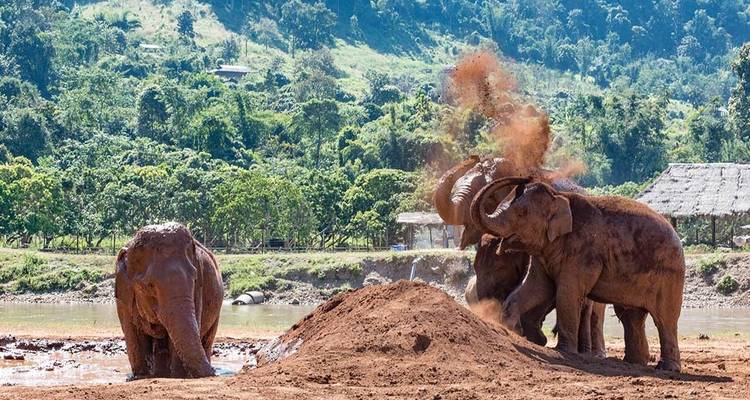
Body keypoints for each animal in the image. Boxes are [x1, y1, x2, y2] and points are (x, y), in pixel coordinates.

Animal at [115, 222, 223, 379]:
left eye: (195, 278)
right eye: (148, 286)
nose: (214, 373)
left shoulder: (197, 289)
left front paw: (179, 375)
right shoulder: (124, 297)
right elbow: (133, 335)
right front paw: (141, 376)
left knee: (207, 340)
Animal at [471, 177, 685, 371]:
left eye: (521, 213)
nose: (524, 177)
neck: (560, 197)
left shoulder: (582, 252)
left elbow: (566, 294)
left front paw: (564, 351)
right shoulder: (543, 253)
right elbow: (536, 288)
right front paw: (510, 328)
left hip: (670, 275)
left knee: (664, 319)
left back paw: (667, 368)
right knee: (631, 317)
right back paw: (634, 363)